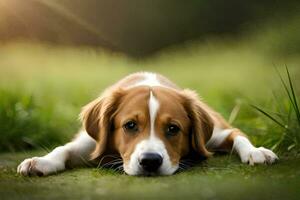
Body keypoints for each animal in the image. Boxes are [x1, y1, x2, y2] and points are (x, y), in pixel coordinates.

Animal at [17, 72, 278, 177]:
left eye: (173, 129)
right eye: (130, 125)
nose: (150, 162)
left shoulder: (217, 133)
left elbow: (239, 135)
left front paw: (256, 152)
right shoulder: (91, 142)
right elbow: (63, 148)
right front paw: (41, 161)